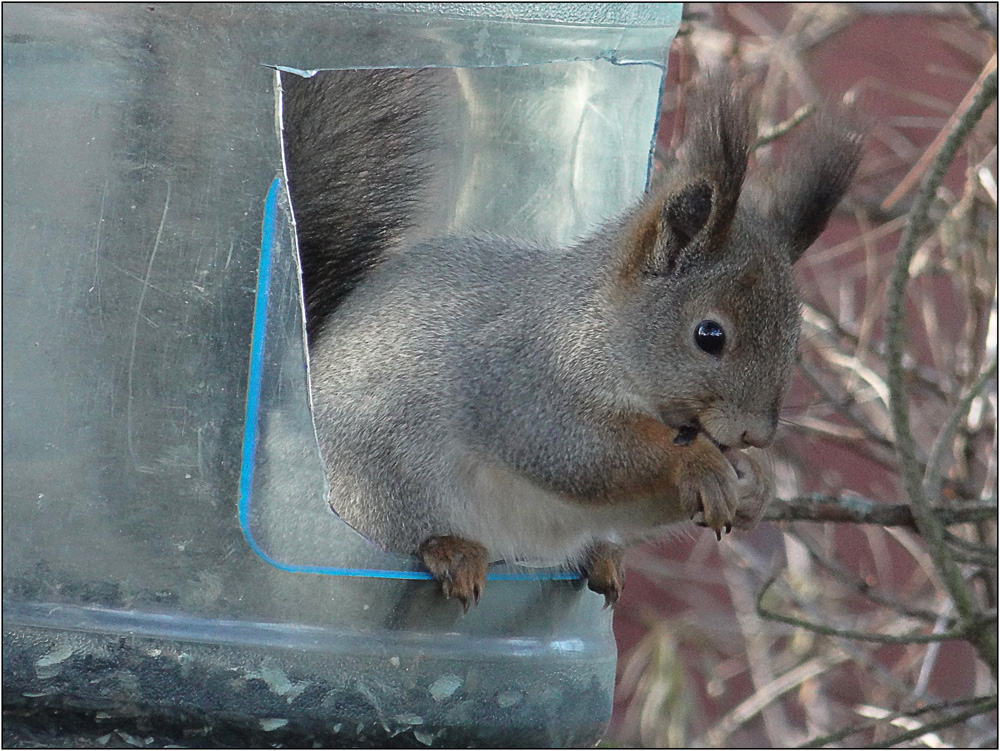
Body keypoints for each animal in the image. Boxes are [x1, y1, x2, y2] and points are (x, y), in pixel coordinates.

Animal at [282, 66, 868, 612]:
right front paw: (698, 463)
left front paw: (757, 485)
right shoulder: (522, 382)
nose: (756, 435)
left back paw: (603, 556)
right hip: (380, 486)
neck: (597, 328)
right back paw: (450, 550)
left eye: (795, 343)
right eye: (709, 335)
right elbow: (576, 450)